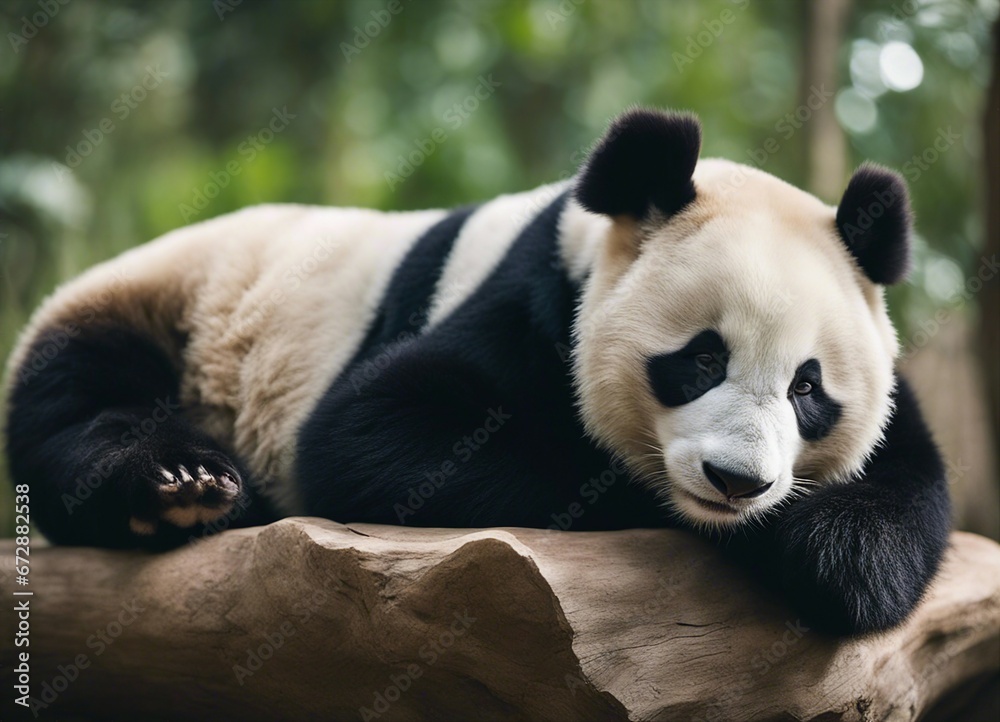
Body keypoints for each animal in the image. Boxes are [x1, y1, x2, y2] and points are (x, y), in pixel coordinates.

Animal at [4, 108, 951, 635]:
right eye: (700, 358)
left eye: (807, 388)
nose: (738, 482)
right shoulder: (535, 302)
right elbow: (375, 434)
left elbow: (899, 505)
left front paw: (819, 541)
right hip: (167, 308)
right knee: (84, 407)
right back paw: (181, 487)